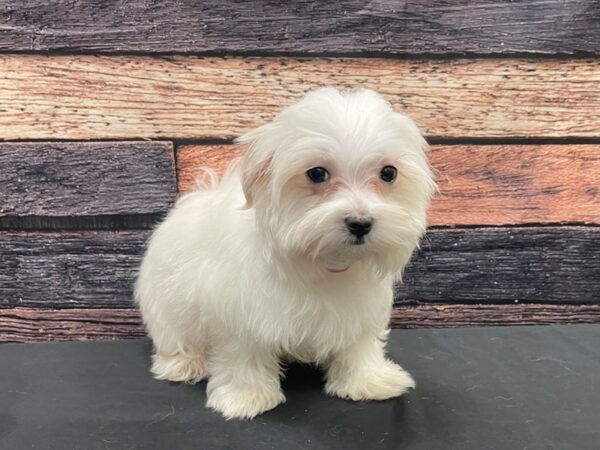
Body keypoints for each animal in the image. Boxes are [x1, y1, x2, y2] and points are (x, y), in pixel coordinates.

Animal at [137, 87, 436, 418]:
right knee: (174, 336)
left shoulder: (359, 309)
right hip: (165, 304)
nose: (360, 223)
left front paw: (369, 381)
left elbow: (358, 344)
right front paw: (246, 396)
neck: (318, 260)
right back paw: (185, 363)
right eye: (316, 173)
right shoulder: (242, 311)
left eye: (388, 173)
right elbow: (244, 352)